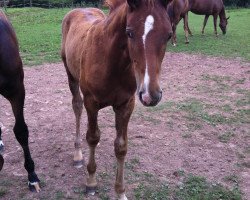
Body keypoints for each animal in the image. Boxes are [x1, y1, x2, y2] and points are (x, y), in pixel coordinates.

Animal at [61, 0, 173, 198]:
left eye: (168, 35)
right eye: (129, 32)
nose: (150, 95)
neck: (111, 63)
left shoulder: (126, 104)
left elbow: (121, 147)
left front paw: (120, 192)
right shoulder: (91, 103)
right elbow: (92, 137)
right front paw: (91, 182)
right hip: (71, 76)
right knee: (77, 106)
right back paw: (77, 154)